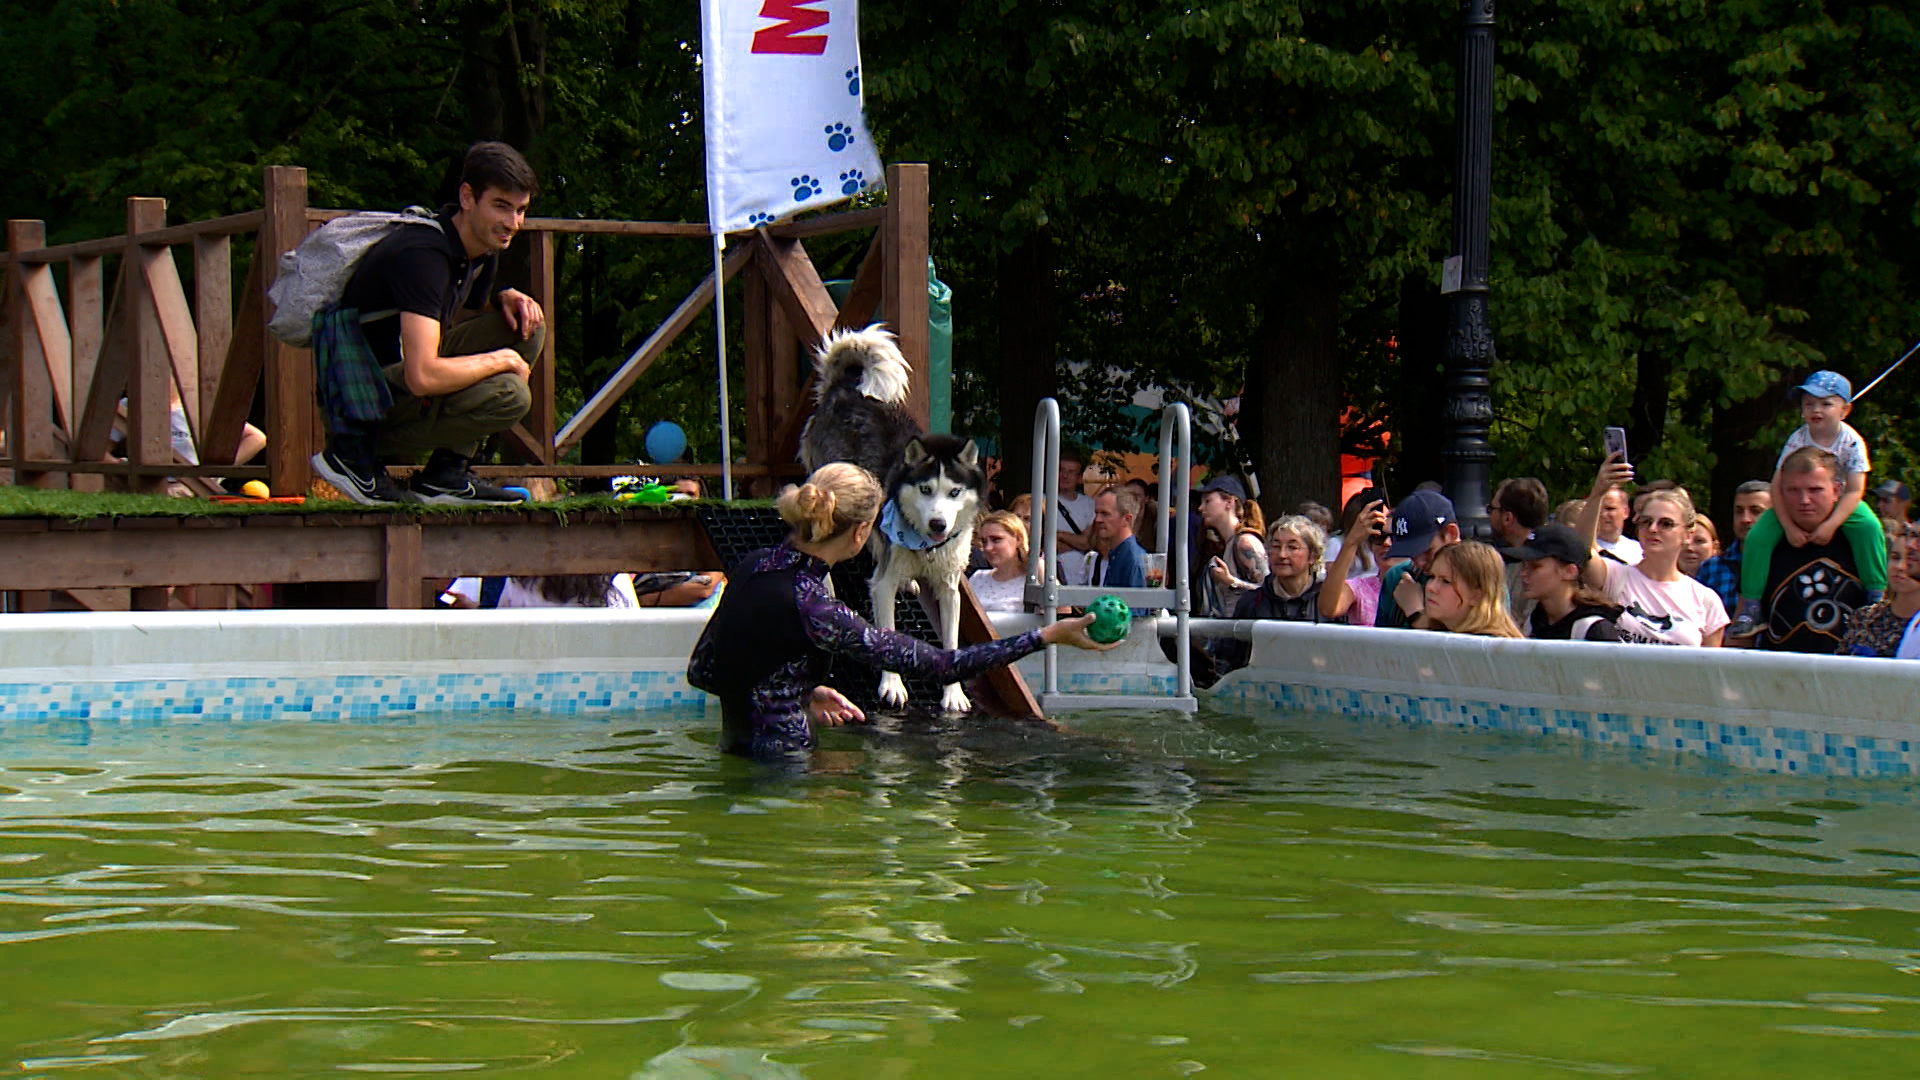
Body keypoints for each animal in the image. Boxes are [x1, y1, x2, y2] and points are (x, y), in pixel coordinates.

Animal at [794, 328, 990, 714]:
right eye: (926, 489)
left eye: (954, 492)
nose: (938, 525)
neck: (926, 546)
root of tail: (845, 391)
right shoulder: (881, 584)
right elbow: (886, 632)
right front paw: (892, 685)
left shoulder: (949, 588)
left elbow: (951, 641)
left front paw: (953, 693)